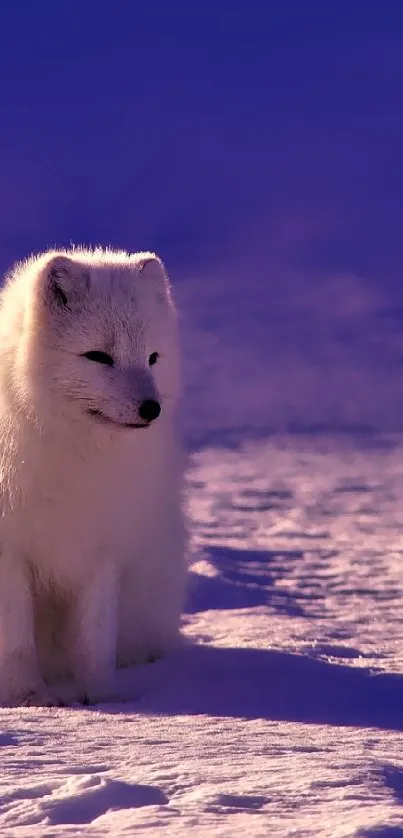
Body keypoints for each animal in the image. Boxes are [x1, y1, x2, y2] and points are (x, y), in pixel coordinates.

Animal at [0, 249, 187, 708]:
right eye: (99, 356)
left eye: (153, 357)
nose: (151, 408)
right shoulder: (9, 551)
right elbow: (16, 639)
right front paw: (29, 699)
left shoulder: (100, 547)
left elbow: (95, 638)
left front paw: (102, 697)